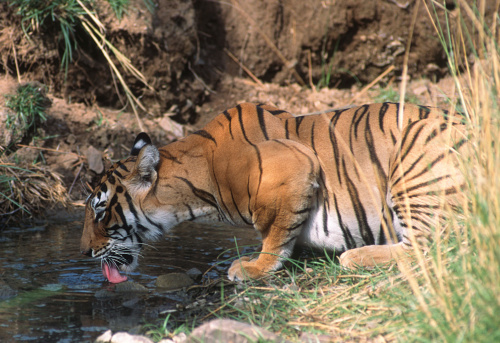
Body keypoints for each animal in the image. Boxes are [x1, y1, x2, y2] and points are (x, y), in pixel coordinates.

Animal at [80, 101, 466, 282]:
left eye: (100, 211)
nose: (84, 252)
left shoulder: (295, 167)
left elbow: (276, 231)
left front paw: (255, 267)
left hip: (413, 163)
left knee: (433, 247)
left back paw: (354, 257)